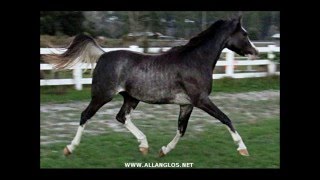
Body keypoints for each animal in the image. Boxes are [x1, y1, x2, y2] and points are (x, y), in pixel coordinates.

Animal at [43, 16, 258, 158]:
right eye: (245, 34)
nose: (254, 51)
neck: (195, 60)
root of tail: (103, 54)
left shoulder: (187, 104)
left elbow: (181, 129)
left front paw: (163, 151)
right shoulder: (201, 100)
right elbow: (226, 119)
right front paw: (243, 149)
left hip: (131, 97)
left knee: (121, 117)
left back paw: (144, 145)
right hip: (102, 95)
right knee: (85, 115)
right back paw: (69, 148)